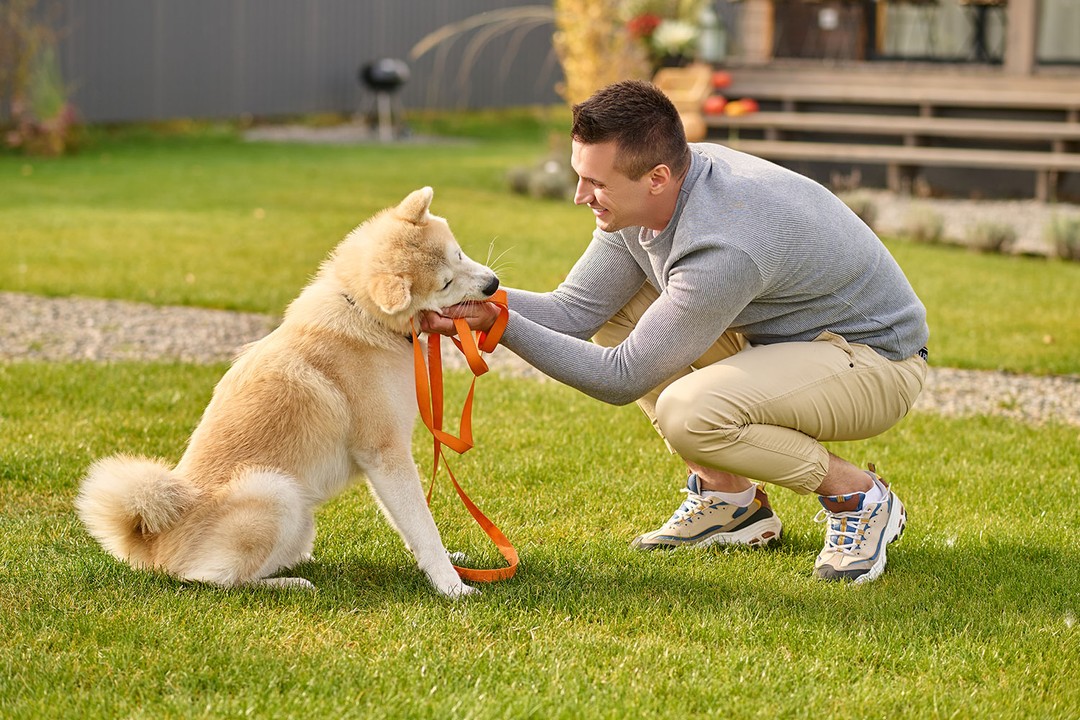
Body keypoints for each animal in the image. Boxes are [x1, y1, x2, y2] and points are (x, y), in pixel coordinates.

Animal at [78, 187, 498, 595]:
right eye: (445, 283)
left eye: (459, 253)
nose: (493, 285)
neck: (364, 316)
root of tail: (151, 541)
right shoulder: (384, 453)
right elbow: (421, 523)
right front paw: (451, 584)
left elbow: (413, 524)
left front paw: (450, 562)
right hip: (274, 490)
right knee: (212, 579)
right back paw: (288, 583)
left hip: (296, 514)